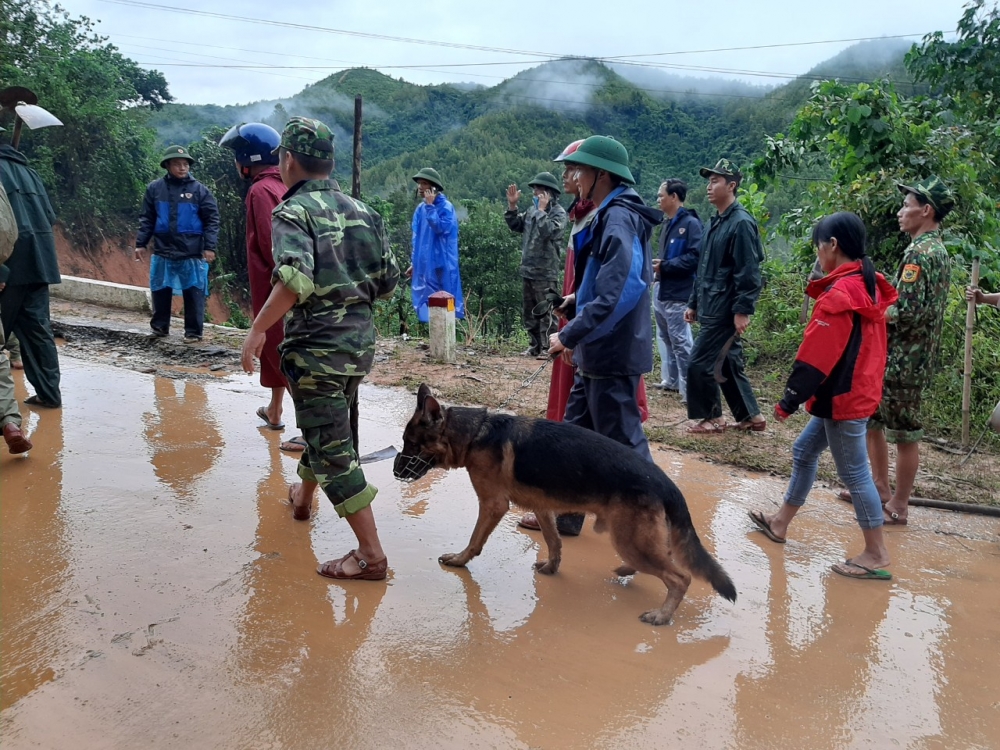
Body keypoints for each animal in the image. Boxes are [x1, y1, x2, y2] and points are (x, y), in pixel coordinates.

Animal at [394, 384, 740, 624]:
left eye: (410, 444)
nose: (395, 472)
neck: (476, 432)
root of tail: (666, 483)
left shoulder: (493, 505)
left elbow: (475, 539)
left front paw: (460, 560)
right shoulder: (543, 507)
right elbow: (554, 540)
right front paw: (552, 566)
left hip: (630, 540)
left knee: (680, 577)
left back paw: (663, 615)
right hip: (634, 539)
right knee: (662, 558)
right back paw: (629, 572)